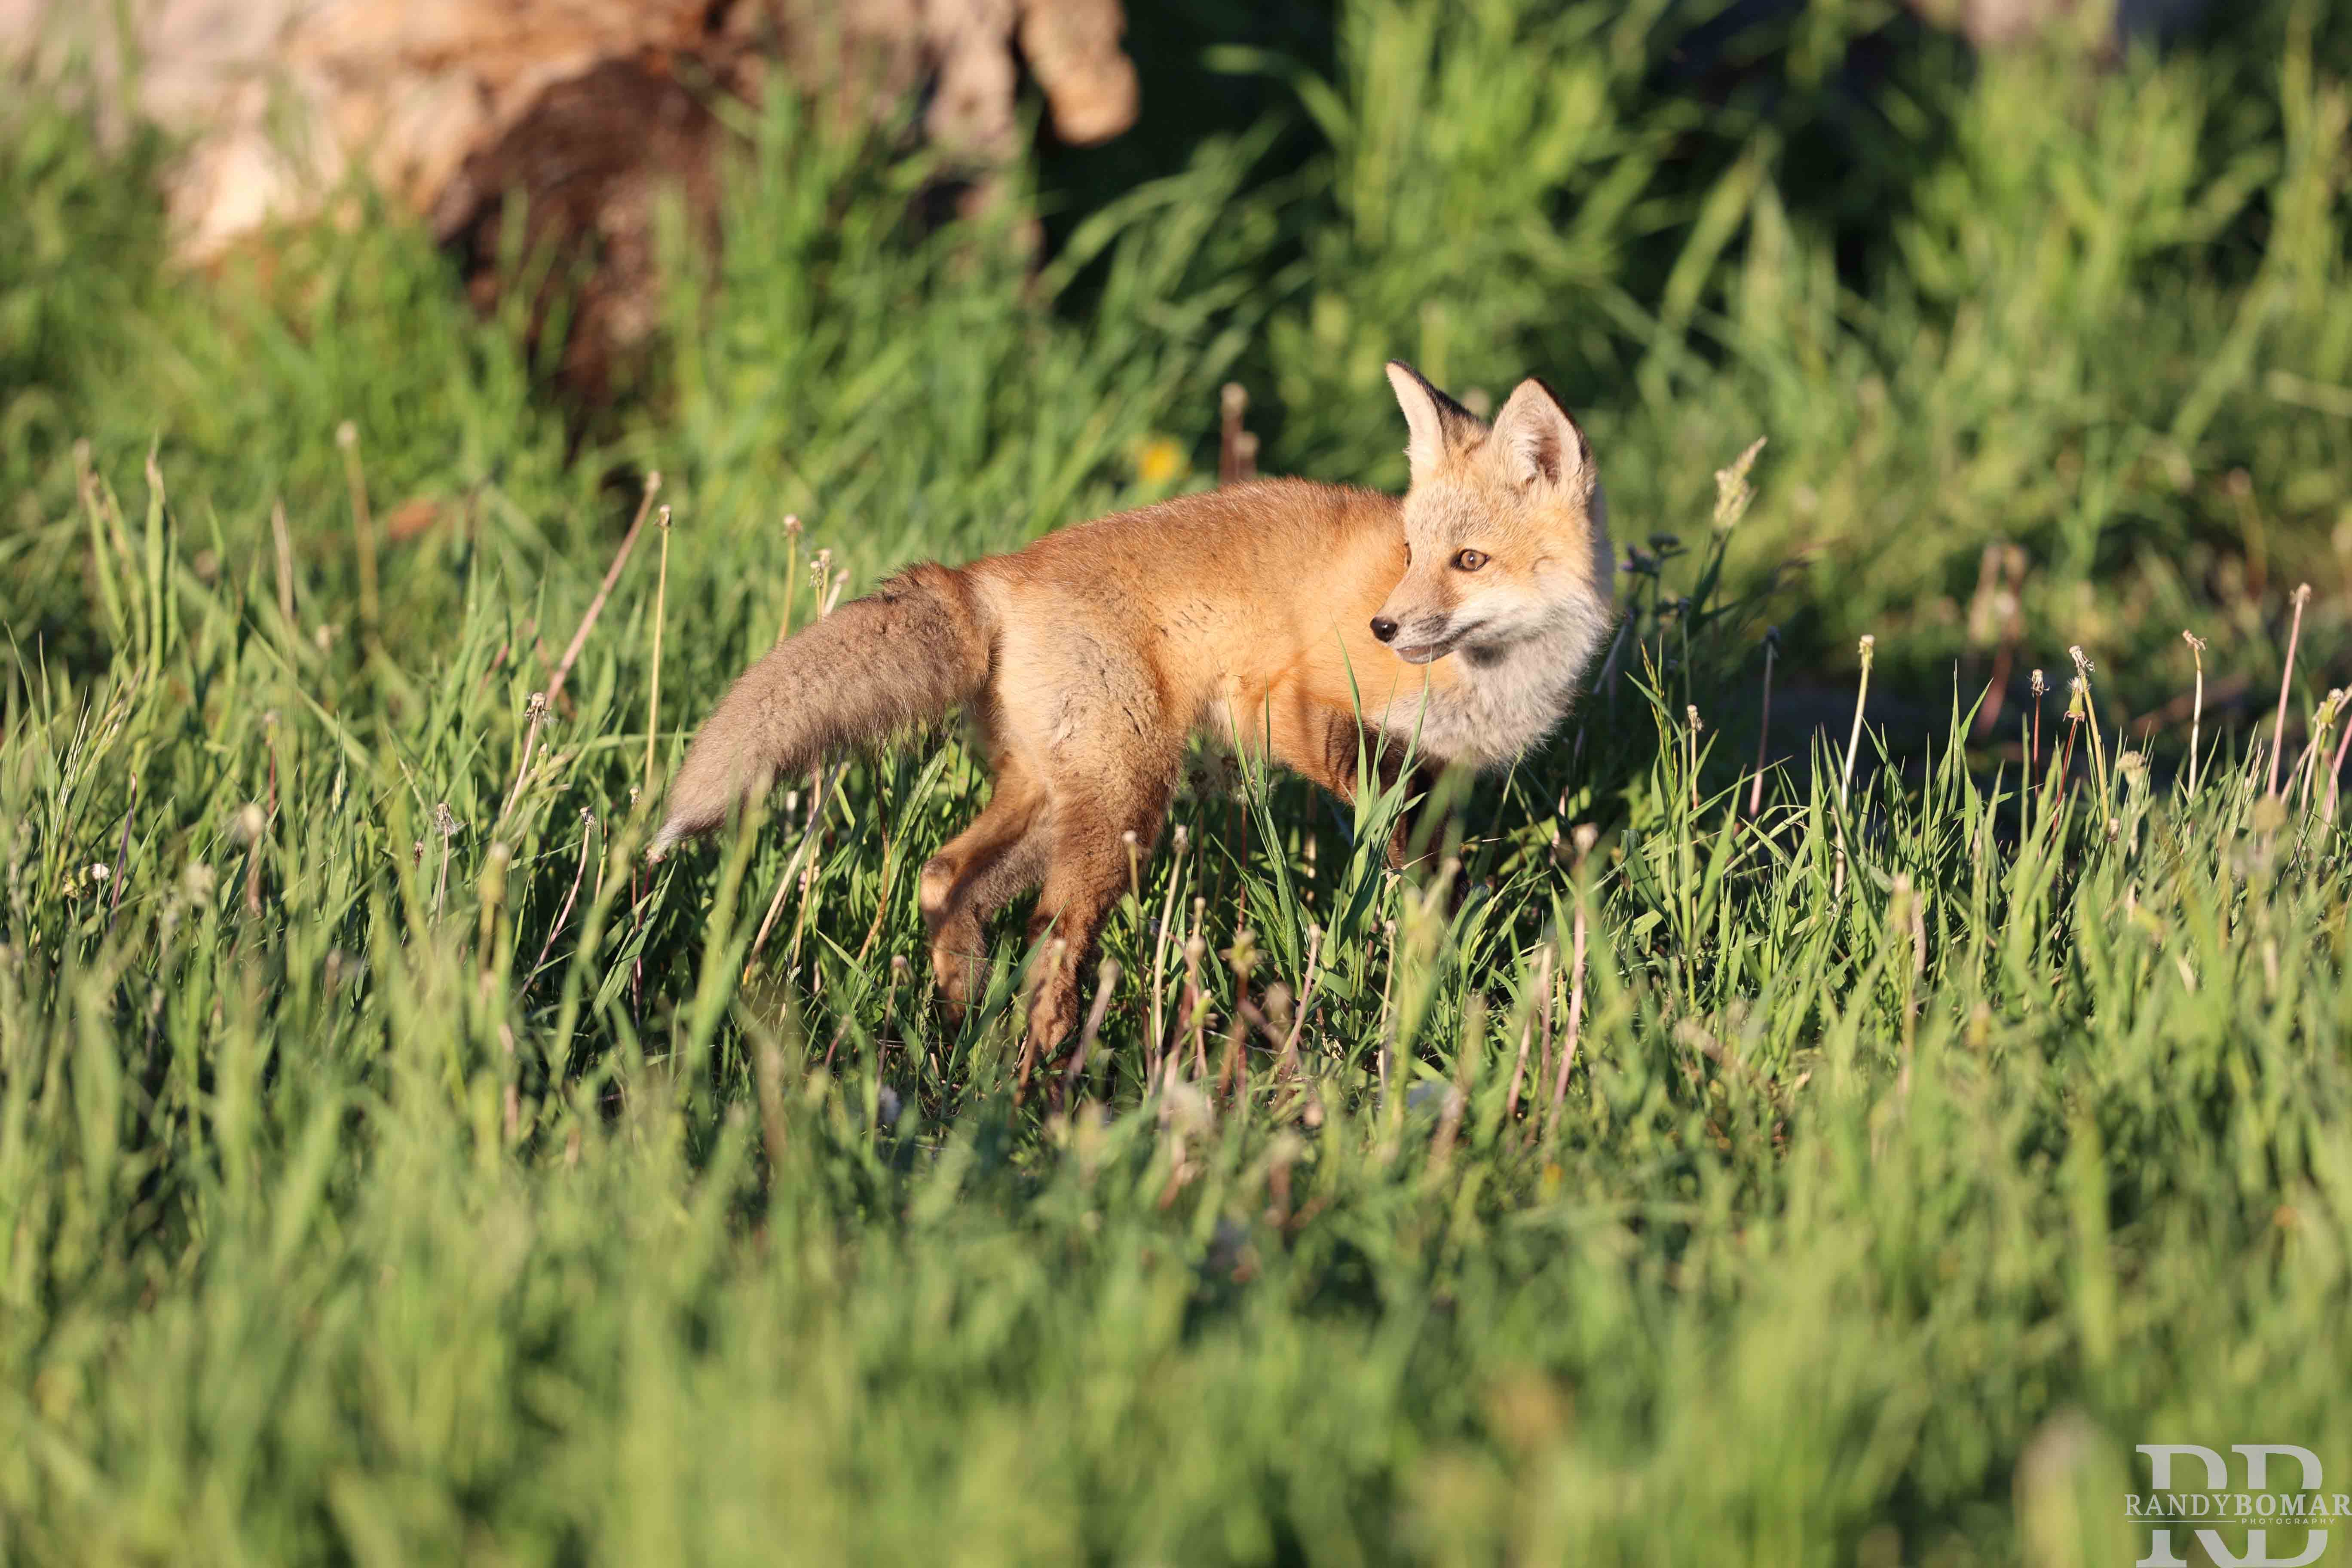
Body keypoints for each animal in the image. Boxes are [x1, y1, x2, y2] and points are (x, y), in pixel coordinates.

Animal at [650, 361, 1617, 1053]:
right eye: (1413, 554)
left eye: (1468, 561)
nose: (1383, 626)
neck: (1493, 677)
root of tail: (992, 573)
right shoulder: (1285, 703)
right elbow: (1379, 795)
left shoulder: (1452, 781)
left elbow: (1431, 877)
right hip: (1126, 806)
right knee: (1049, 938)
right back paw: (1036, 1083)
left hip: (1058, 796)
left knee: (942, 875)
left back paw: (960, 1034)